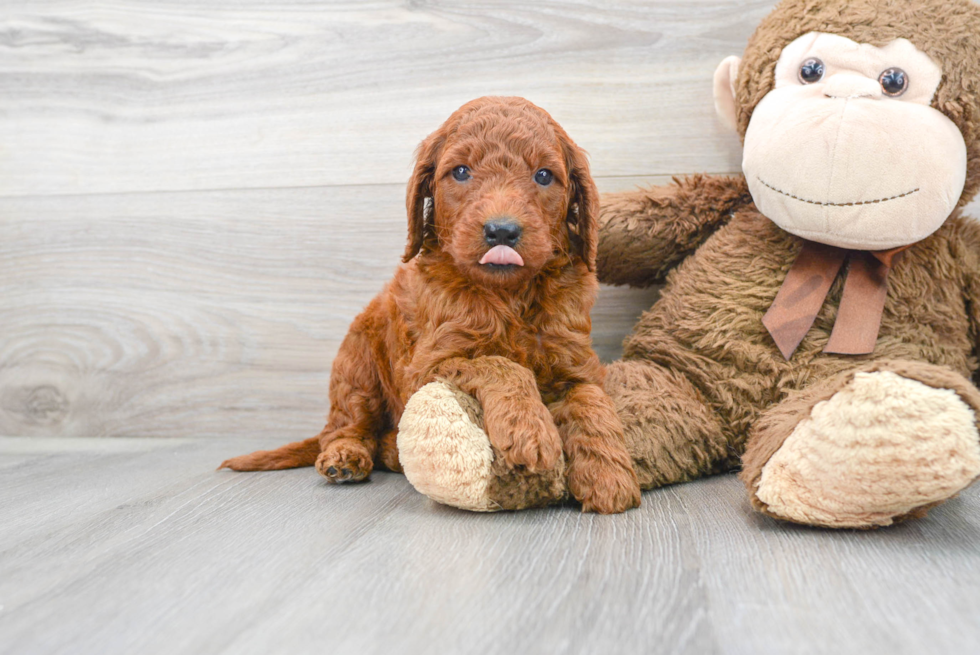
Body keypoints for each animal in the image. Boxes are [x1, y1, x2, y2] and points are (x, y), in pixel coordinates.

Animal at [218, 96, 640, 516]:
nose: (502, 231)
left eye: (544, 176)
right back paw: (345, 456)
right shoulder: (427, 365)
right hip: (357, 366)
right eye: (461, 172)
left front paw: (609, 474)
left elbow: (591, 400)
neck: (507, 294)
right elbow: (499, 364)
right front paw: (530, 431)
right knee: (345, 425)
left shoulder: (575, 360)